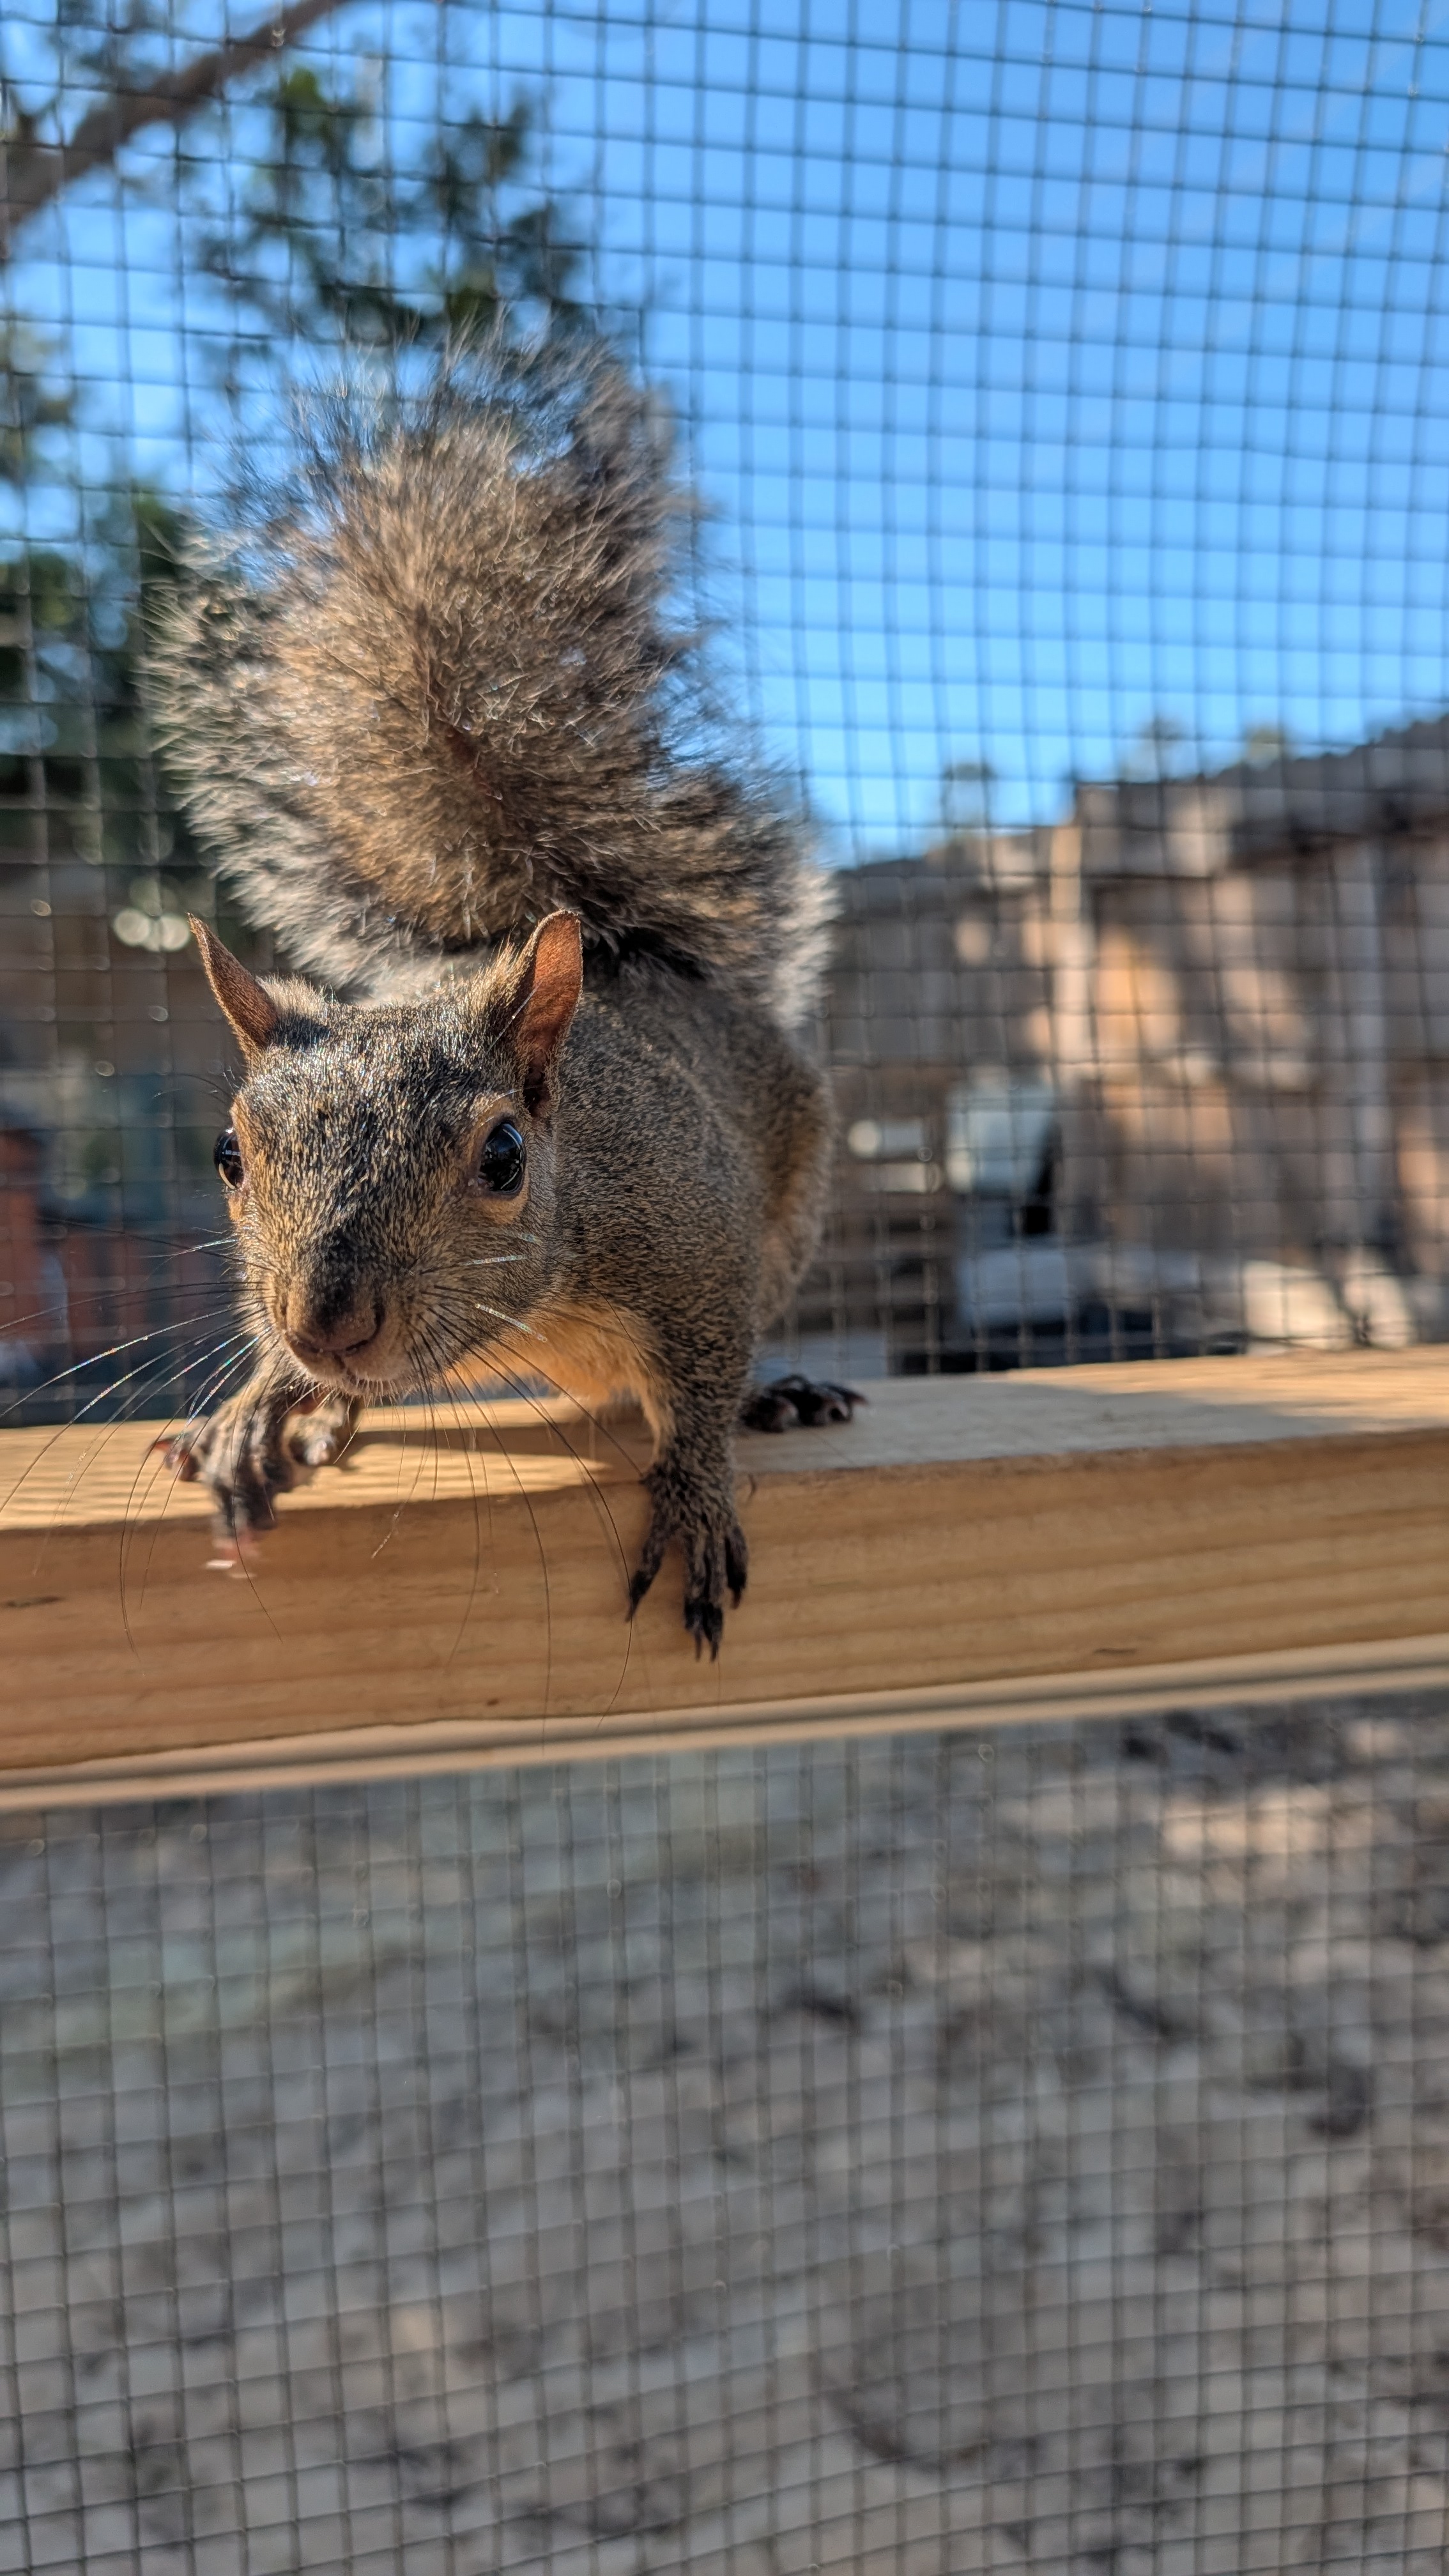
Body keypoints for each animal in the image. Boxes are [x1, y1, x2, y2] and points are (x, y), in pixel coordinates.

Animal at [152, 341, 859, 1652]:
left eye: (502, 1158)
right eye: (229, 1156)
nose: (324, 1325)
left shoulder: (697, 1241)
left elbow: (700, 1383)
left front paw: (697, 1491)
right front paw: (254, 1407)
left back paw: (779, 1397)